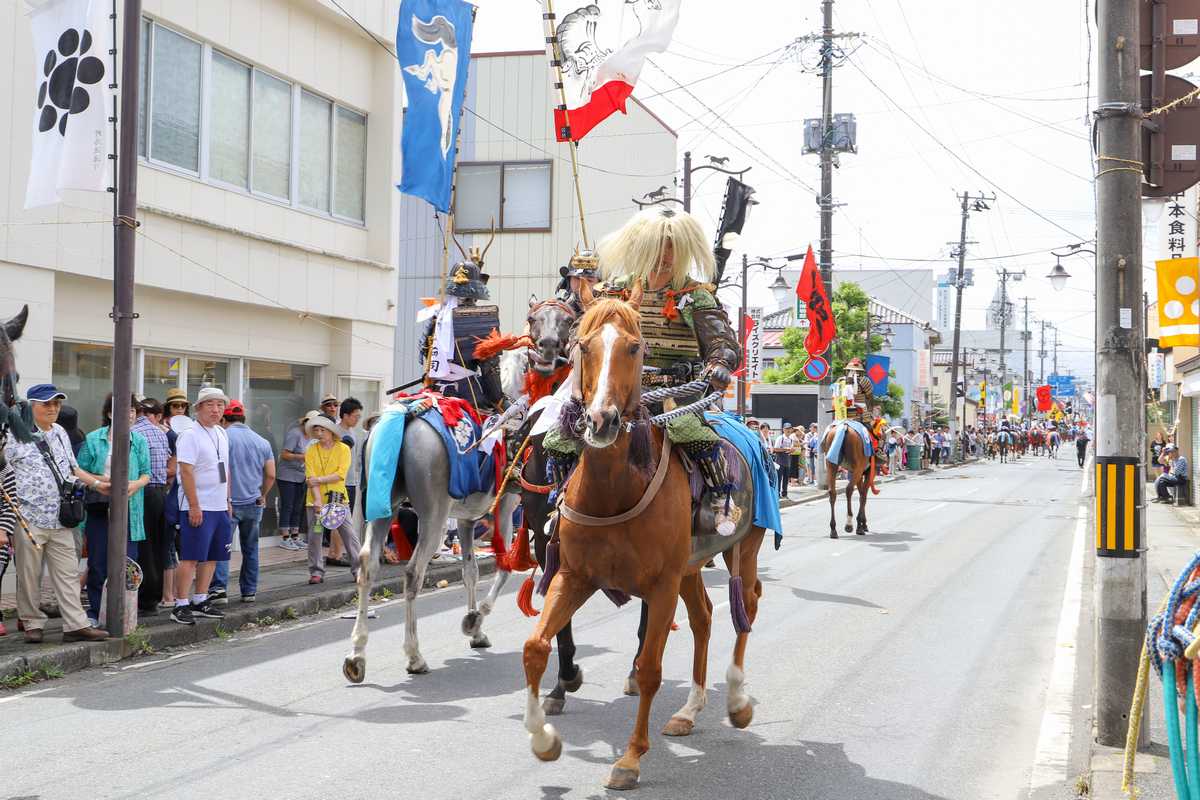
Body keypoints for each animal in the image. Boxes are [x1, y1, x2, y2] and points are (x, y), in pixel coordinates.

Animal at [343, 298, 576, 681]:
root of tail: (408, 414)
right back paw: (414, 655)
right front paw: (474, 620)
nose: (548, 348)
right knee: (413, 572)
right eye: (534, 320)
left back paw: (356, 656)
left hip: (382, 507)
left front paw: (475, 629)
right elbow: (505, 566)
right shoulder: (507, 503)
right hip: (433, 516)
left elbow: (470, 570)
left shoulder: (467, 517)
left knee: (367, 567)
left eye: (566, 321)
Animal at [520, 292, 763, 786]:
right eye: (584, 345)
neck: (614, 491)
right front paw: (544, 738)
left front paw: (630, 759)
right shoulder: (572, 573)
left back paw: (736, 701)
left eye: (635, 348)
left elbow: (650, 669)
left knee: (745, 608)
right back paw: (689, 711)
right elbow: (535, 647)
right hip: (691, 566)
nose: (601, 420)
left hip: (741, 548)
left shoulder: (661, 584)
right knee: (704, 617)